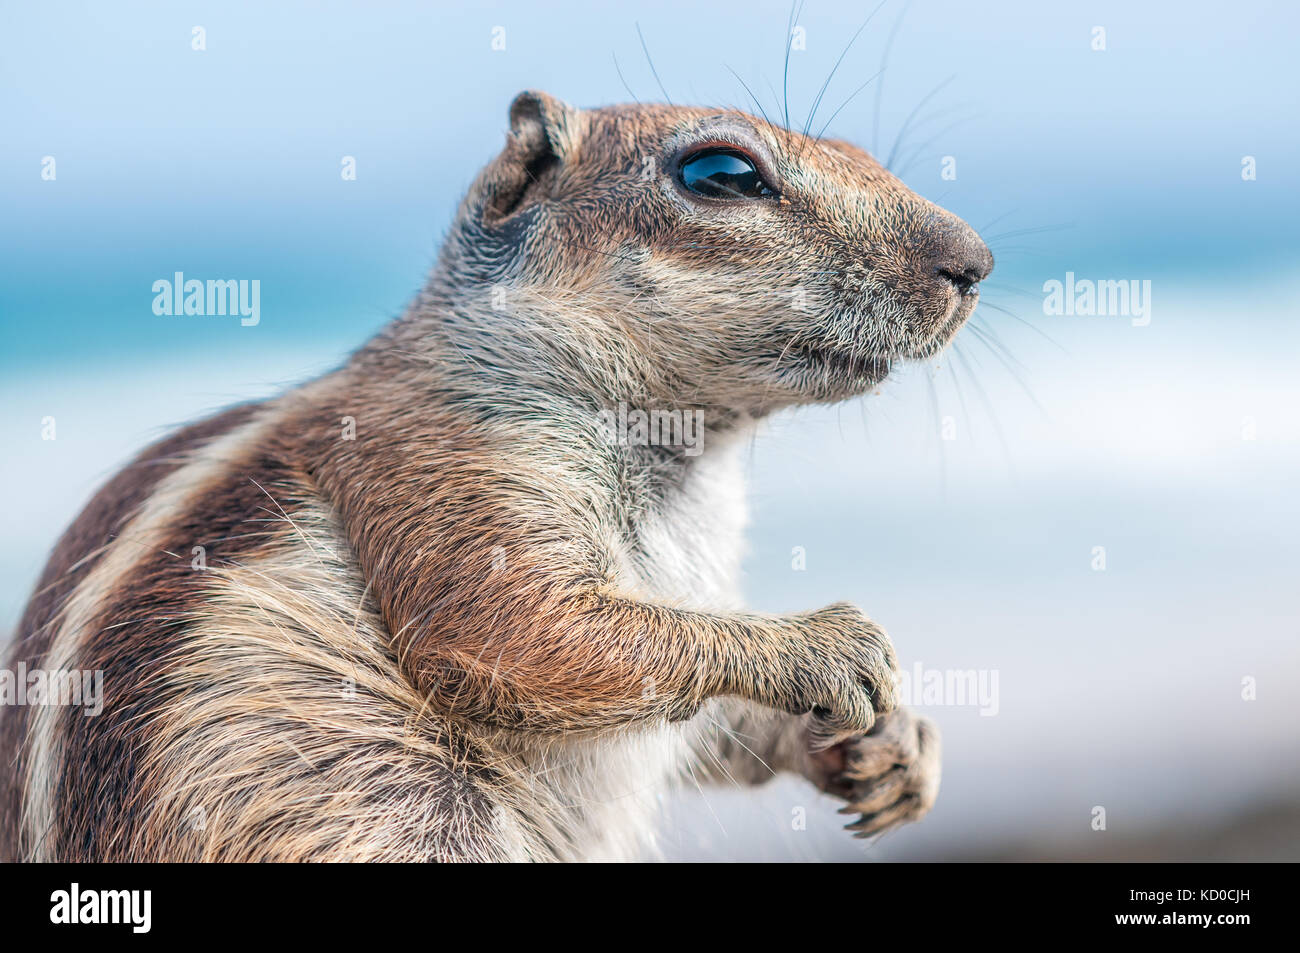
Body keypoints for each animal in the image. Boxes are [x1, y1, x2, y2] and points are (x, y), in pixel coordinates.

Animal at [0, 91, 991, 861]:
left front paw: (899, 748)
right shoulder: (446, 463)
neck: (689, 452)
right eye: (721, 173)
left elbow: (706, 727)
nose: (975, 262)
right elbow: (519, 630)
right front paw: (829, 643)